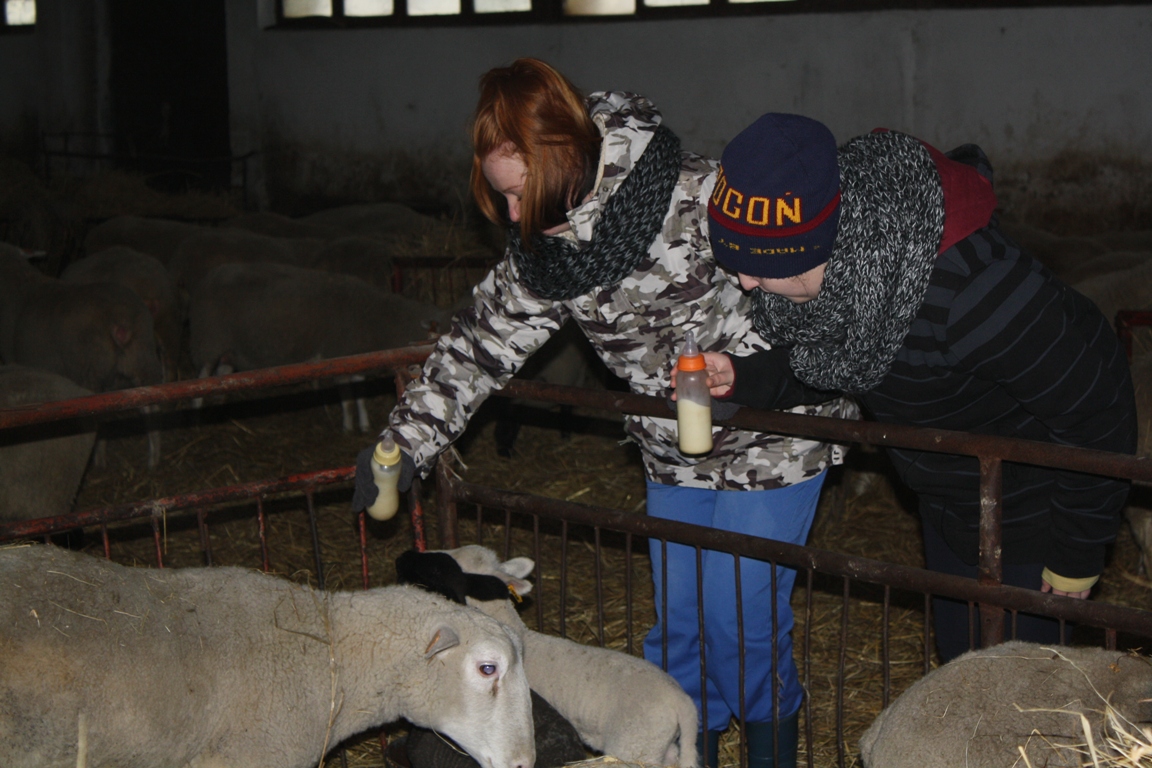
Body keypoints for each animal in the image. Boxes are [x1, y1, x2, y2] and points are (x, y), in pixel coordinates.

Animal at [188, 261, 452, 432]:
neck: (376, 315)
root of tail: (208, 278)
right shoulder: (339, 353)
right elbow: (347, 397)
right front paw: (348, 426)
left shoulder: (357, 355)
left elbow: (359, 393)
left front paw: (364, 423)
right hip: (209, 342)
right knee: (201, 380)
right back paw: (198, 419)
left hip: (228, 350)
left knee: (220, 378)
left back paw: (220, 409)